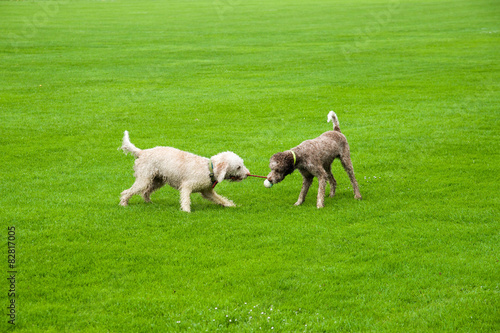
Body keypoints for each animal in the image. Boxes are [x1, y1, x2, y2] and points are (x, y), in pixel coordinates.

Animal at [117, 131, 250, 211]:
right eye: (238, 167)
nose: (248, 174)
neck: (208, 169)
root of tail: (142, 152)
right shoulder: (187, 186)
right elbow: (186, 199)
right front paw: (186, 211)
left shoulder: (207, 192)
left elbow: (221, 199)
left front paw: (232, 205)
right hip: (144, 179)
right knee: (126, 192)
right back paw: (124, 203)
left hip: (157, 181)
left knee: (145, 192)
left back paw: (149, 202)